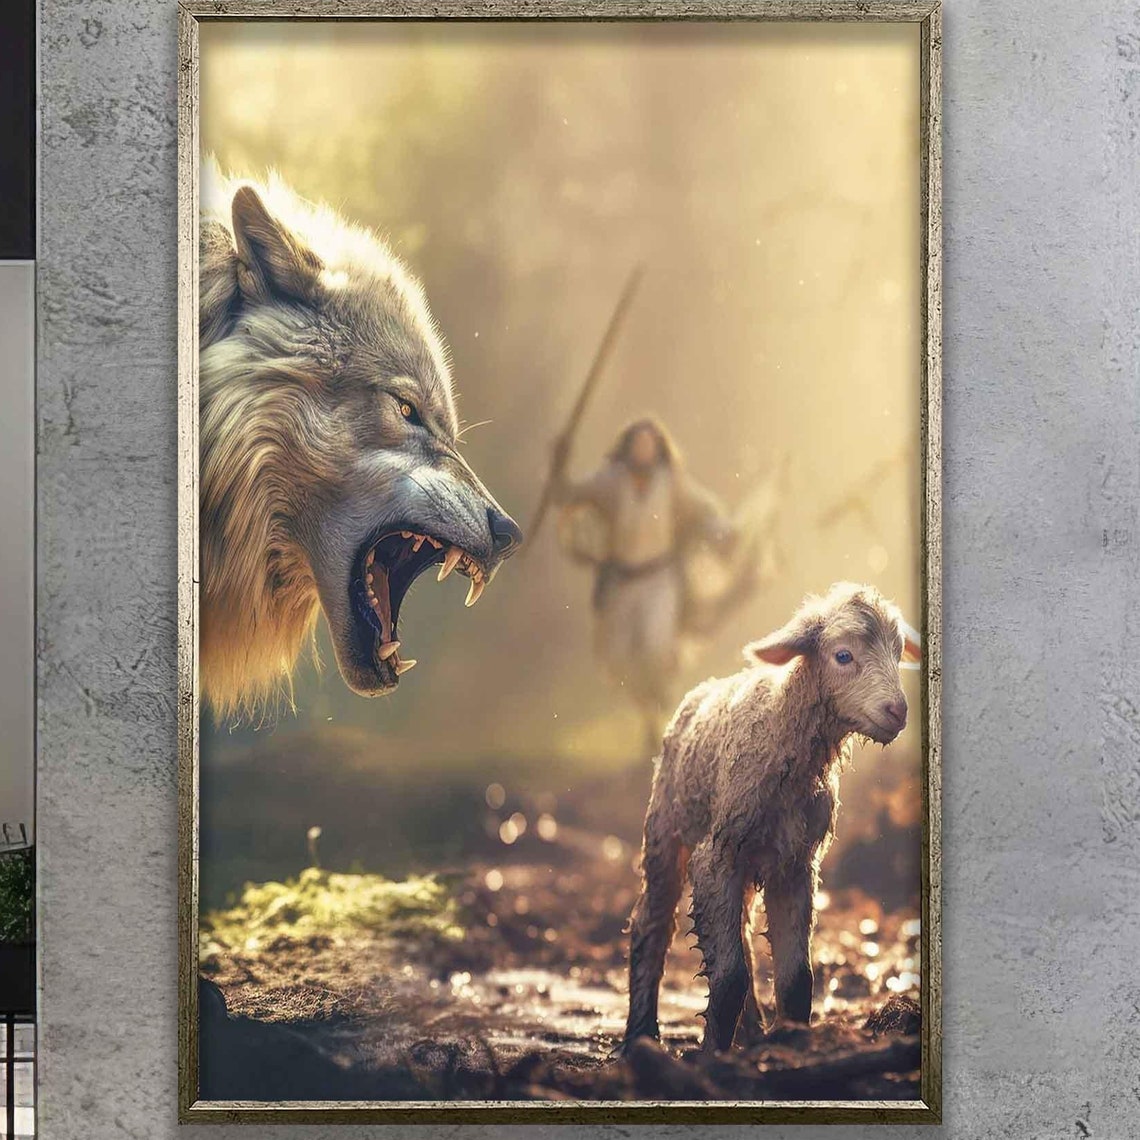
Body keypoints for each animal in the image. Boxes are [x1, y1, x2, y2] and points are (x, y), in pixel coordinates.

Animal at [622, 582, 921, 1054]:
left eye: (897, 652)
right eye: (843, 655)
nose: (898, 711)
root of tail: (702, 690)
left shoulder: (797, 863)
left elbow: (797, 978)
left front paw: (790, 1044)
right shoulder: (716, 855)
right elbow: (729, 977)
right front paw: (711, 1056)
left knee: (741, 933)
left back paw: (752, 1032)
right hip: (666, 831)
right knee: (650, 924)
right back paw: (641, 1036)